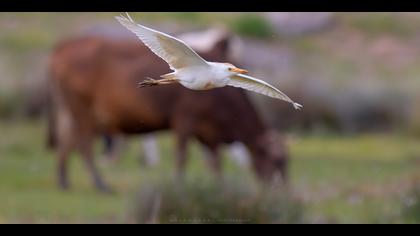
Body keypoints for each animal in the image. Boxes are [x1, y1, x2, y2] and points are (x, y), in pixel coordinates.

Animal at [46, 32, 288, 192]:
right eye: (277, 161)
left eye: (233, 69)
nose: (280, 191)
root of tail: (59, 50)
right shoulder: (185, 119)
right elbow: (182, 157)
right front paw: (179, 186)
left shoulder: (207, 132)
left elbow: (215, 162)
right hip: (83, 109)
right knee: (84, 144)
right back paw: (101, 185)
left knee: (67, 141)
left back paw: (64, 182)